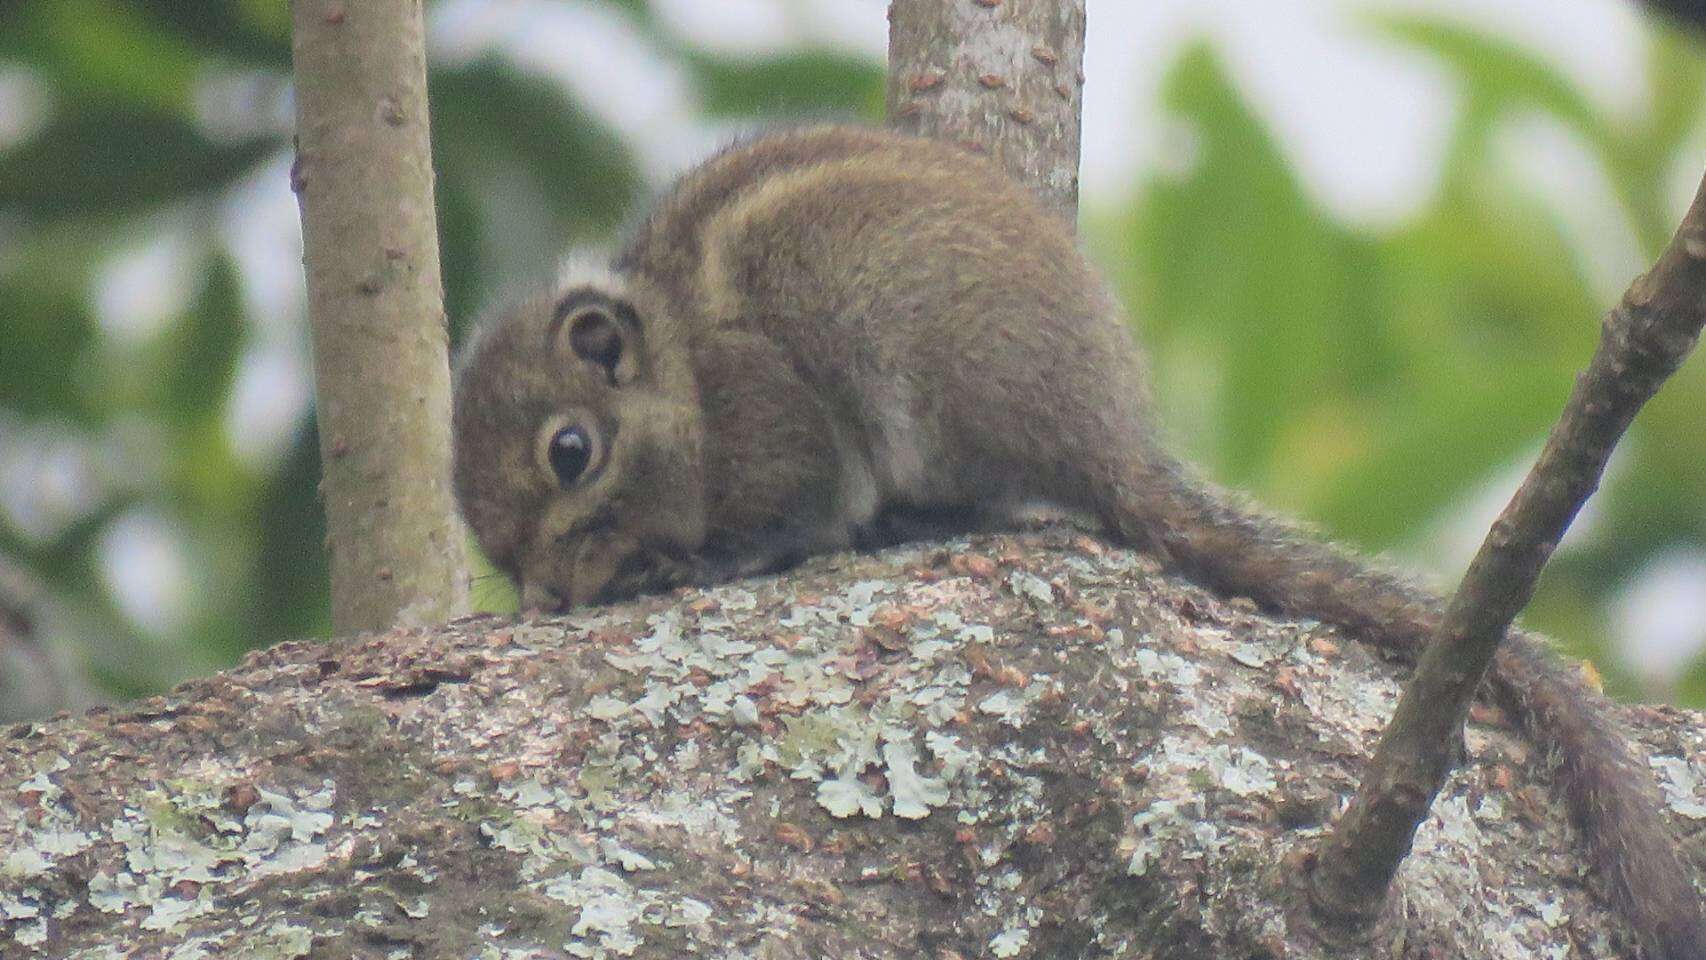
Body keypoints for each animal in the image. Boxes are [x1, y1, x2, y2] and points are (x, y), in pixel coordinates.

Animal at [446, 123, 1699, 954]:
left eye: (569, 451)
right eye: (496, 551)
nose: (545, 594)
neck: (685, 377)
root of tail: (1109, 432)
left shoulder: (772, 414)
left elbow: (789, 516)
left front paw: (695, 559)